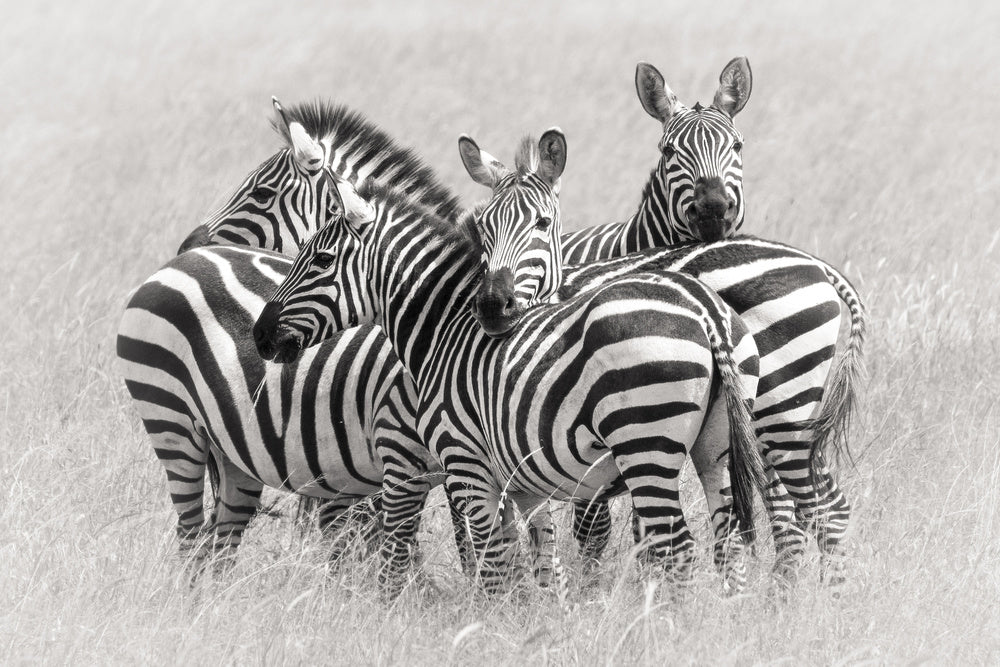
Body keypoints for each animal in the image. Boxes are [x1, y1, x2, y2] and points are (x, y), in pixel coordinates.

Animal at [252, 168, 768, 595]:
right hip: (715, 450)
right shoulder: (523, 482)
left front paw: (491, 628)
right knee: (727, 544)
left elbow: (494, 565)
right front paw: (543, 628)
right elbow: (540, 565)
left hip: (645, 445)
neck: (444, 331)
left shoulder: (466, 465)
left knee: (677, 548)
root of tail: (705, 309)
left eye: (321, 260)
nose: (259, 335)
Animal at [458, 59, 866, 584]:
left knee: (811, 506)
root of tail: (818, 266)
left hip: (779, 410)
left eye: (738, 146)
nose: (713, 209)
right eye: (669, 151)